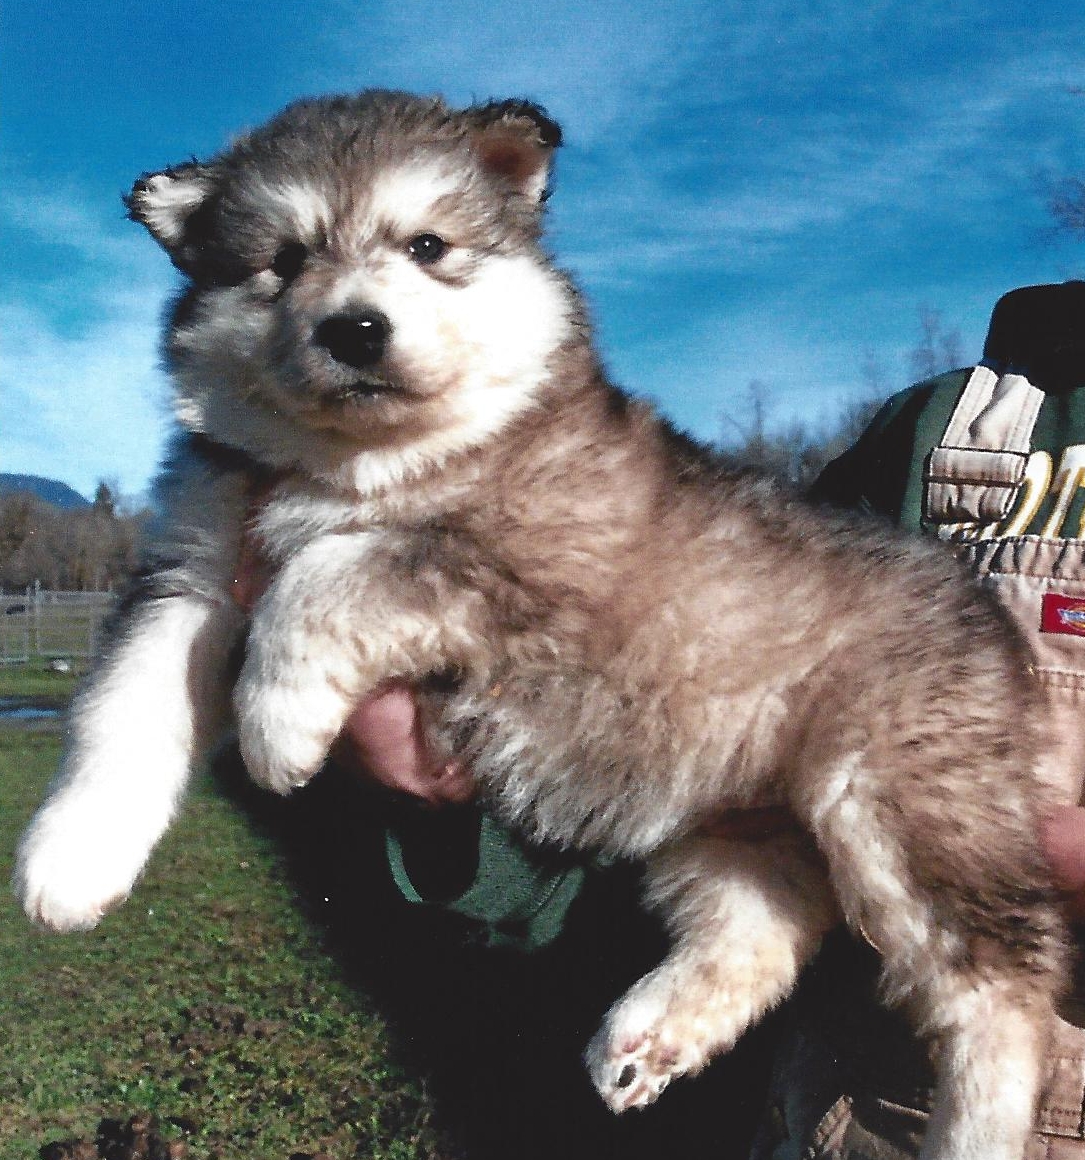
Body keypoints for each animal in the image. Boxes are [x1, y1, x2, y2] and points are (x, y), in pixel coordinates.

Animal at [16, 92, 1067, 1160]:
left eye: (426, 244)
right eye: (283, 259)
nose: (355, 328)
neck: (359, 463)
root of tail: (977, 609)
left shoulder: (515, 565)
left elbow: (324, 576)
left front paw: (275, 728)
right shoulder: (188, 575)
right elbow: (122, 707)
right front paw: (73, 857)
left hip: (899, 805)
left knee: (1001, 984)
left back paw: (974, 1128)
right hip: (721, 816)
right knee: (766, 929)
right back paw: (644, 1038)